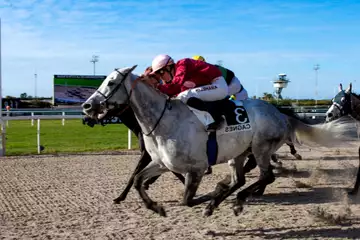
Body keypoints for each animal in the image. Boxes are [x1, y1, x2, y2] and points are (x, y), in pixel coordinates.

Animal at [82, 66, 354, 218]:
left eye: (111, 82)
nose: (87, 106)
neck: (163, 121)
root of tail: (278, 111)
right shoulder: (161, 163)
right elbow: (139, 180)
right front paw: (155, 207)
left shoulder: (196, 168)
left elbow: (188, 199)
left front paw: (211, 195)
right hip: (240, 152)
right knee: (241, 179)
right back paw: (229, 199)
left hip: (261, 148)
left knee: (266, 176)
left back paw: (236, 199)